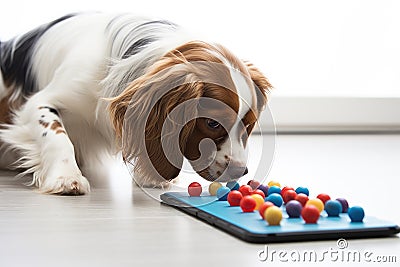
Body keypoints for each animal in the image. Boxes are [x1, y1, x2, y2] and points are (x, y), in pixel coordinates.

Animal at [0, 12, 272, 196]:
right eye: (212, 123)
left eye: (249, 126)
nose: (240, 171)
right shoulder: (38, 103)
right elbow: (57, 136)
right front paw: (66, 177)